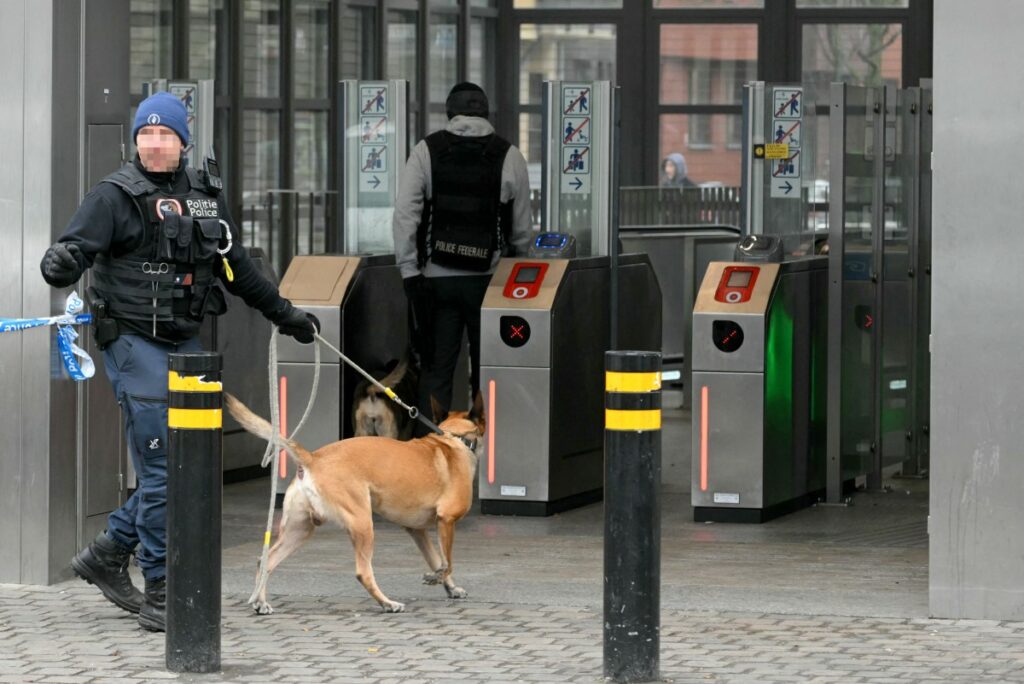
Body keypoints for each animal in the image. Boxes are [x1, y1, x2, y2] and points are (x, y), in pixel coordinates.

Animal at [227, 389, 487, 614]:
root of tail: (313, 458)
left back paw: (260, 602)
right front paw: (438, 578)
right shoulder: (447, 520)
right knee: (363, 572)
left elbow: (436, 560)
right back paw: (387, 603)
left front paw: (448, 585)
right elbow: (448, 561)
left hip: (299, 530)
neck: (455, 439)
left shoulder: (417, 530)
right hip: (362, 524)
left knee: (265, 560)